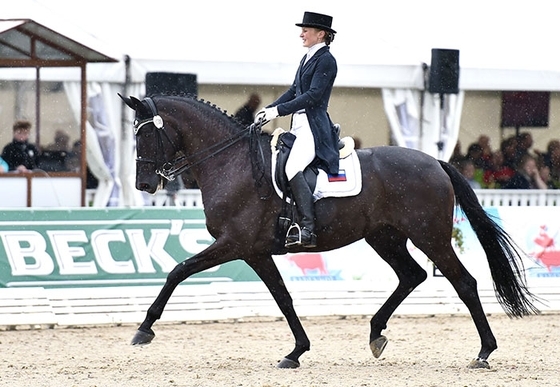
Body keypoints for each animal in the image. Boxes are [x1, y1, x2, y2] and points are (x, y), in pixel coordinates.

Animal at [119, 93, 540, 370]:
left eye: (145, 135)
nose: (144, 185)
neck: (231, 162)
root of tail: (435, 161)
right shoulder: (255, 251)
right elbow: (283, 298)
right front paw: (296, 352)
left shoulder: (234, 244)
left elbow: (178, 271)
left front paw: (143, 330)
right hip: (384, 237)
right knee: (412, 275)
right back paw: (376, 334)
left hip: (430, 237)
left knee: (463, 282)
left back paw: (484, 352)